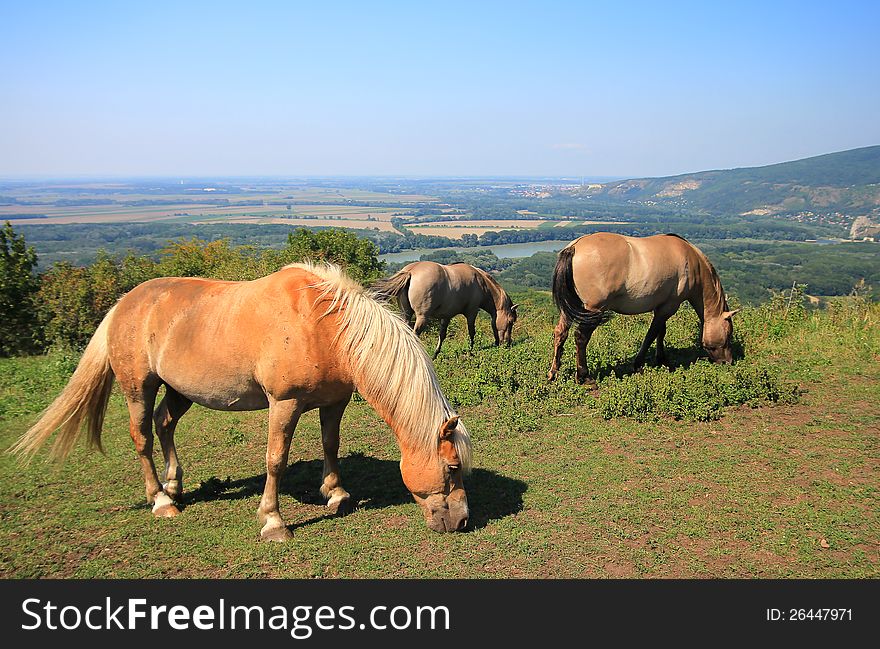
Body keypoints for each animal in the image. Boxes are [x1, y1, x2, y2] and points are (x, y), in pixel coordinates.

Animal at [10, 262, 470, 536]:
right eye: (451, 468)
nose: (462, 520)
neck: (326, 326)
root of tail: (125, 302)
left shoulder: (334, 402)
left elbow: (331, 445)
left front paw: (336, 495)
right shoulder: (284, 404)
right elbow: (275, 460)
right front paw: (273, 522)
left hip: (180, 391)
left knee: (164, 424)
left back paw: (175, 485)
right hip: (138, 387)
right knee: (141, 436)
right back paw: (161, 500)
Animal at [374, 260, 520, 356]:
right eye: (510, 321)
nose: (507, 343)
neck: (480, 283)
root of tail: (411, 271)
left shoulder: (446, 316)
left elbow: (442, 335)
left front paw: (435, 354)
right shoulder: (472, 312)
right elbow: (471, 332)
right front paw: (471, 351)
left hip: (406, 314)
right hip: (422, 317)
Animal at [548, 233, 740, 384]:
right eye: (729, 334)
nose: (728, 362)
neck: (691, 261)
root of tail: (574, 248)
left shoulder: (662, 306)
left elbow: (661, 332)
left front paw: (662, 360)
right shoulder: (669, 306)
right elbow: (651, 334)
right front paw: (639, 364)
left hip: (571, 308)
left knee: (561, 333)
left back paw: (553, 373)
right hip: (593, 309)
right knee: (581, 338)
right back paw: (584, 376)